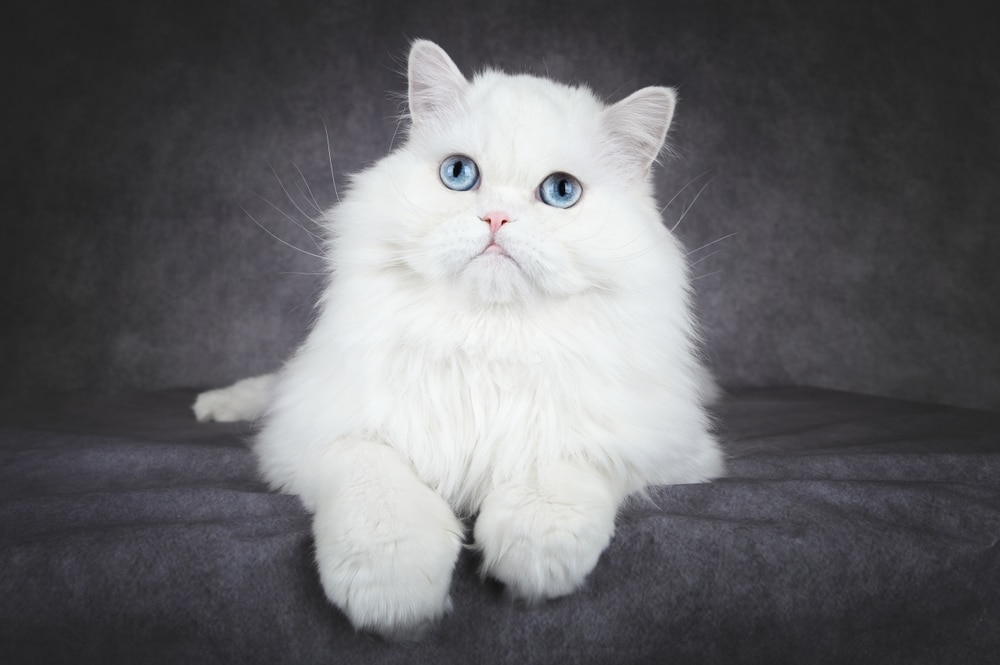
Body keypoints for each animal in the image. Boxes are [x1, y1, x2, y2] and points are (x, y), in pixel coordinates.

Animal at [195, 40, 724, 640]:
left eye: (561, 191)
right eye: (459, 174)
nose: (495, 218)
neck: (486, 340)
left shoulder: (664, 448)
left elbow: (564, 464)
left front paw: (535, 557)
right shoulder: (317, 436)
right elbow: (378, 490)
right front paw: (393, 598)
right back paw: (214, 405)